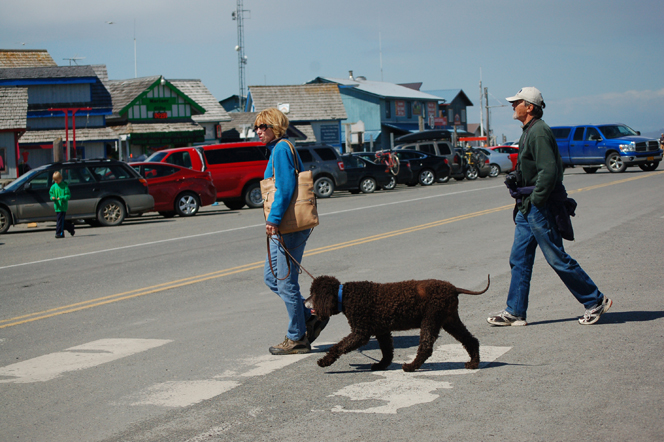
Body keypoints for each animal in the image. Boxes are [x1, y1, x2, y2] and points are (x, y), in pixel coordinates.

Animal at [304, 274, 488, 372]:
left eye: (313, 294)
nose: (304, 302)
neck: (346, 296)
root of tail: (453, 288)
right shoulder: (382, 331)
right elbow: (387, 352)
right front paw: (381, 365)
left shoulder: (361, 332)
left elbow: (339, 347)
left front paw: (325, 361)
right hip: (449, 320)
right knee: (470, 340)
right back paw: (474, 363)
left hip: (431, 319)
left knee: (426, 348)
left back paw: (411, 366)